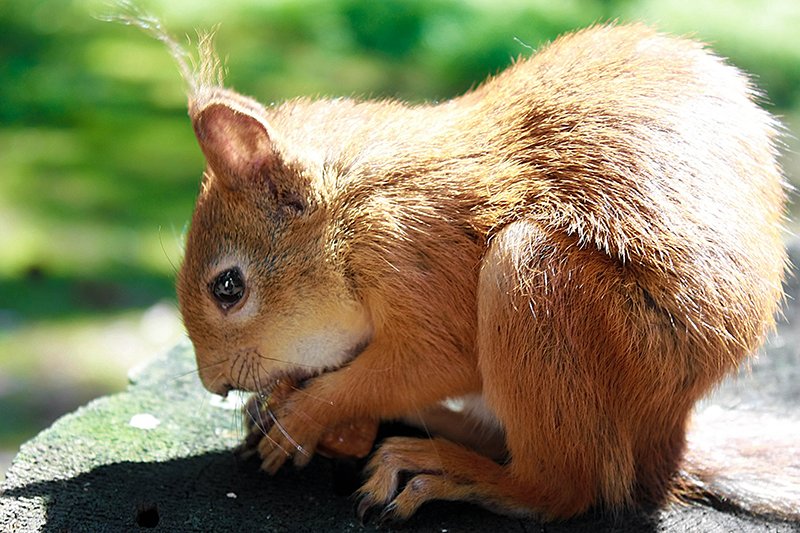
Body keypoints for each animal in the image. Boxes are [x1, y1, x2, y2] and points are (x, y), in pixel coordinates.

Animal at [118, 8, 798, 522]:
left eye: (228, 287)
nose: (214, 384)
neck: (350, 213)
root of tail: (667, 440)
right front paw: (283, 403)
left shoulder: (414, 257)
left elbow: (432, 359)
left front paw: (304, 414)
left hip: (541, 287)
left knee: (563, 487)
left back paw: (439, 466)